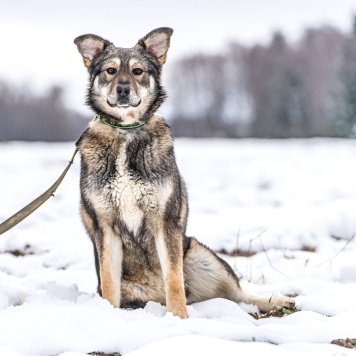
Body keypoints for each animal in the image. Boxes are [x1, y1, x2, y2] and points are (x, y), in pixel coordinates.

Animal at [73, 26, 294, 318]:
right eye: (110, 70)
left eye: (138, 71)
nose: (122, 89)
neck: (126, 134)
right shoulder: (106, 227)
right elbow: (110, 284)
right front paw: (107, 314)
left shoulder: (165, 221)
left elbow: (174, 279)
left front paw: (178, 318)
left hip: (203, 257)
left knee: (238, 294)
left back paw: (277, 301)